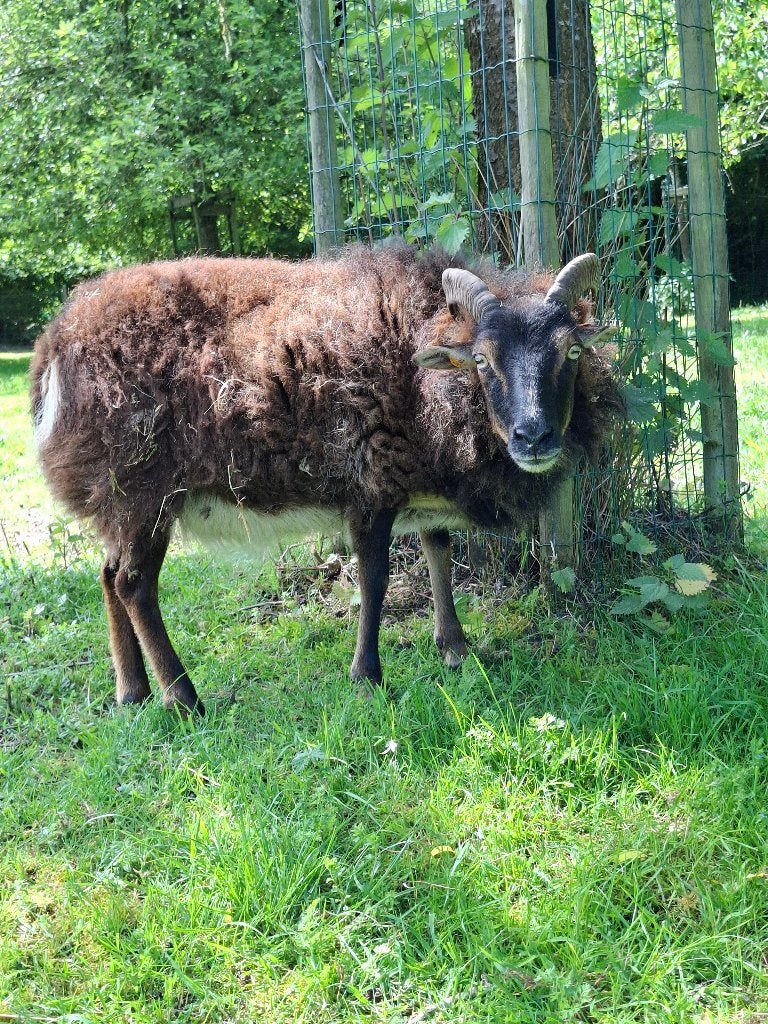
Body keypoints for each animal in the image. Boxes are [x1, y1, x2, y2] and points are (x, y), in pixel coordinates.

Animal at [30, 244, 622, 714]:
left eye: (571, 350)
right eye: (481, 358)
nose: (534, 436)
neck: (422, 375)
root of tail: (53, 344)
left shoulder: (418, 480)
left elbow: (439, 552)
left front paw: (455, 648)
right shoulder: (372, 484)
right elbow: (375, 579)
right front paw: (367, 676)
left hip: (119, 501)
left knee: (108, 575)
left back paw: (132, 693)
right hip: (140, 491)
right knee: (134, 584)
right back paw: (183, 697)